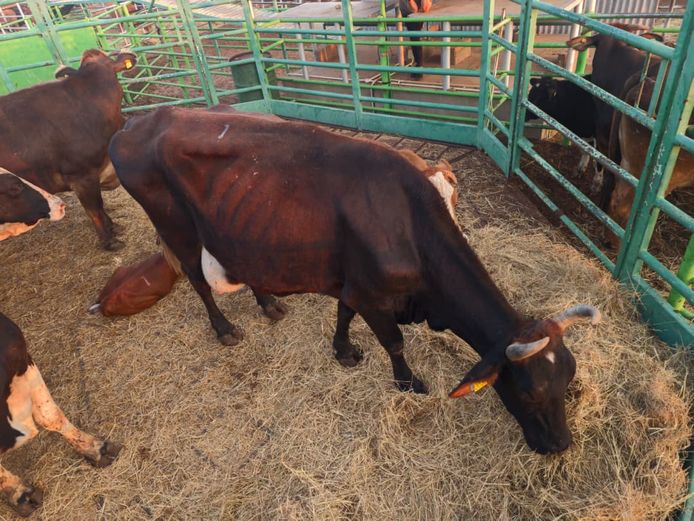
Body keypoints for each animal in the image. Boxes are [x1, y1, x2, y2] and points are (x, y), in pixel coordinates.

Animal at [110, 107, 601, 455]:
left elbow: (343, 312)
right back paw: (225, 329)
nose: (561, 445)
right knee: (198, 280)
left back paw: (269, 304)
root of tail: (136, 122)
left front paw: (343, 350)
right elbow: (394, 343)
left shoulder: (355, 284)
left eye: (569, 380)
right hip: (175, 226)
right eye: (530, 393)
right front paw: (408, 382)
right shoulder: (374, 294)